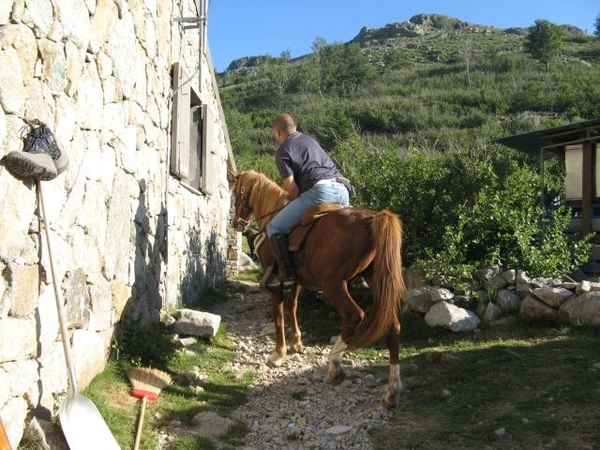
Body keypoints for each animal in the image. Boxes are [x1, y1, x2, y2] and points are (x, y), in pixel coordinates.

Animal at [231, 170, 408, 408]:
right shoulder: (296, 281)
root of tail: (373, 218)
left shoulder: (275, 283)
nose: (236, 223)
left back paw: (334, 365)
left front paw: (278, 354)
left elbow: (278, 316)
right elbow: (292, 307)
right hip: (376, 280)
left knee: (354, 316)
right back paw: (392, 391)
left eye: (236, 192)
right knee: (392, 326)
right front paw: (297, 344)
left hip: (332, 284)